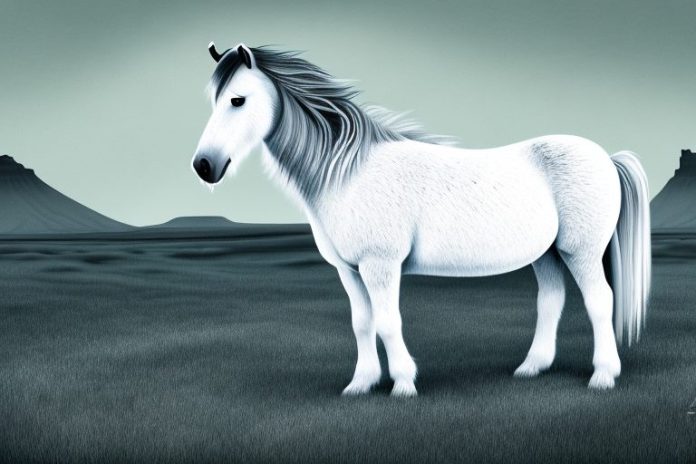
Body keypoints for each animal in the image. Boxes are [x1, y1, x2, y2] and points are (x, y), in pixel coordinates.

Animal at [191, 42, 651, 396]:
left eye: (237, 100)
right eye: (214, 101)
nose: (203, 165)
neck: (349, 172)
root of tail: (605, 157)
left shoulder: (380, 264)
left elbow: (388, 321)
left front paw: (402, 385)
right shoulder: (348, 270)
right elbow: (362, 323)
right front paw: (360, 384)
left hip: (581, 251)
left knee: (599, 301)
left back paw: (603, 376)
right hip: (547, 254)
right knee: (551, 301)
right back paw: (532, 368)